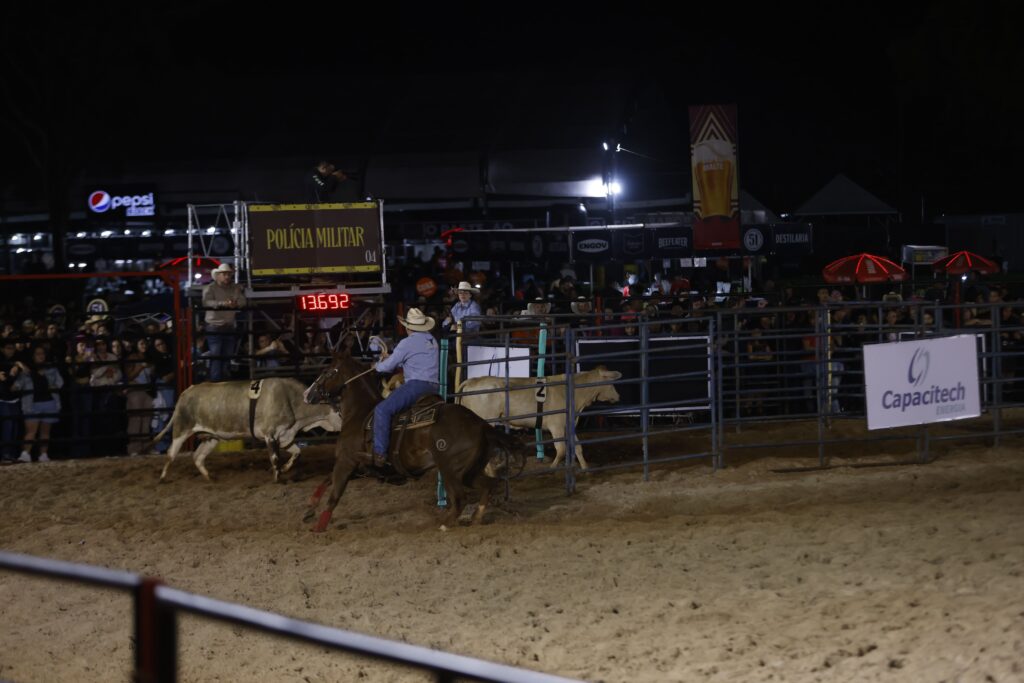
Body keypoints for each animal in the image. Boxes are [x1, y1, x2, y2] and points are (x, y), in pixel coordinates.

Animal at [296, 352, 520, 532]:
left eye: (327, 372)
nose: (307, 394)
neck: (359, 413)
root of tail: (480, 424)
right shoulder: (356, 467)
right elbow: (327, 480)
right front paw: (309, 508)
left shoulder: (346, 462)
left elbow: (334, 494)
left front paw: (319, 527)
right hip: (467, 471)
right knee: (487, 485)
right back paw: (476, 518)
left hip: (450, 469)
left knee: (459, 498)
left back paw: (443, 524)